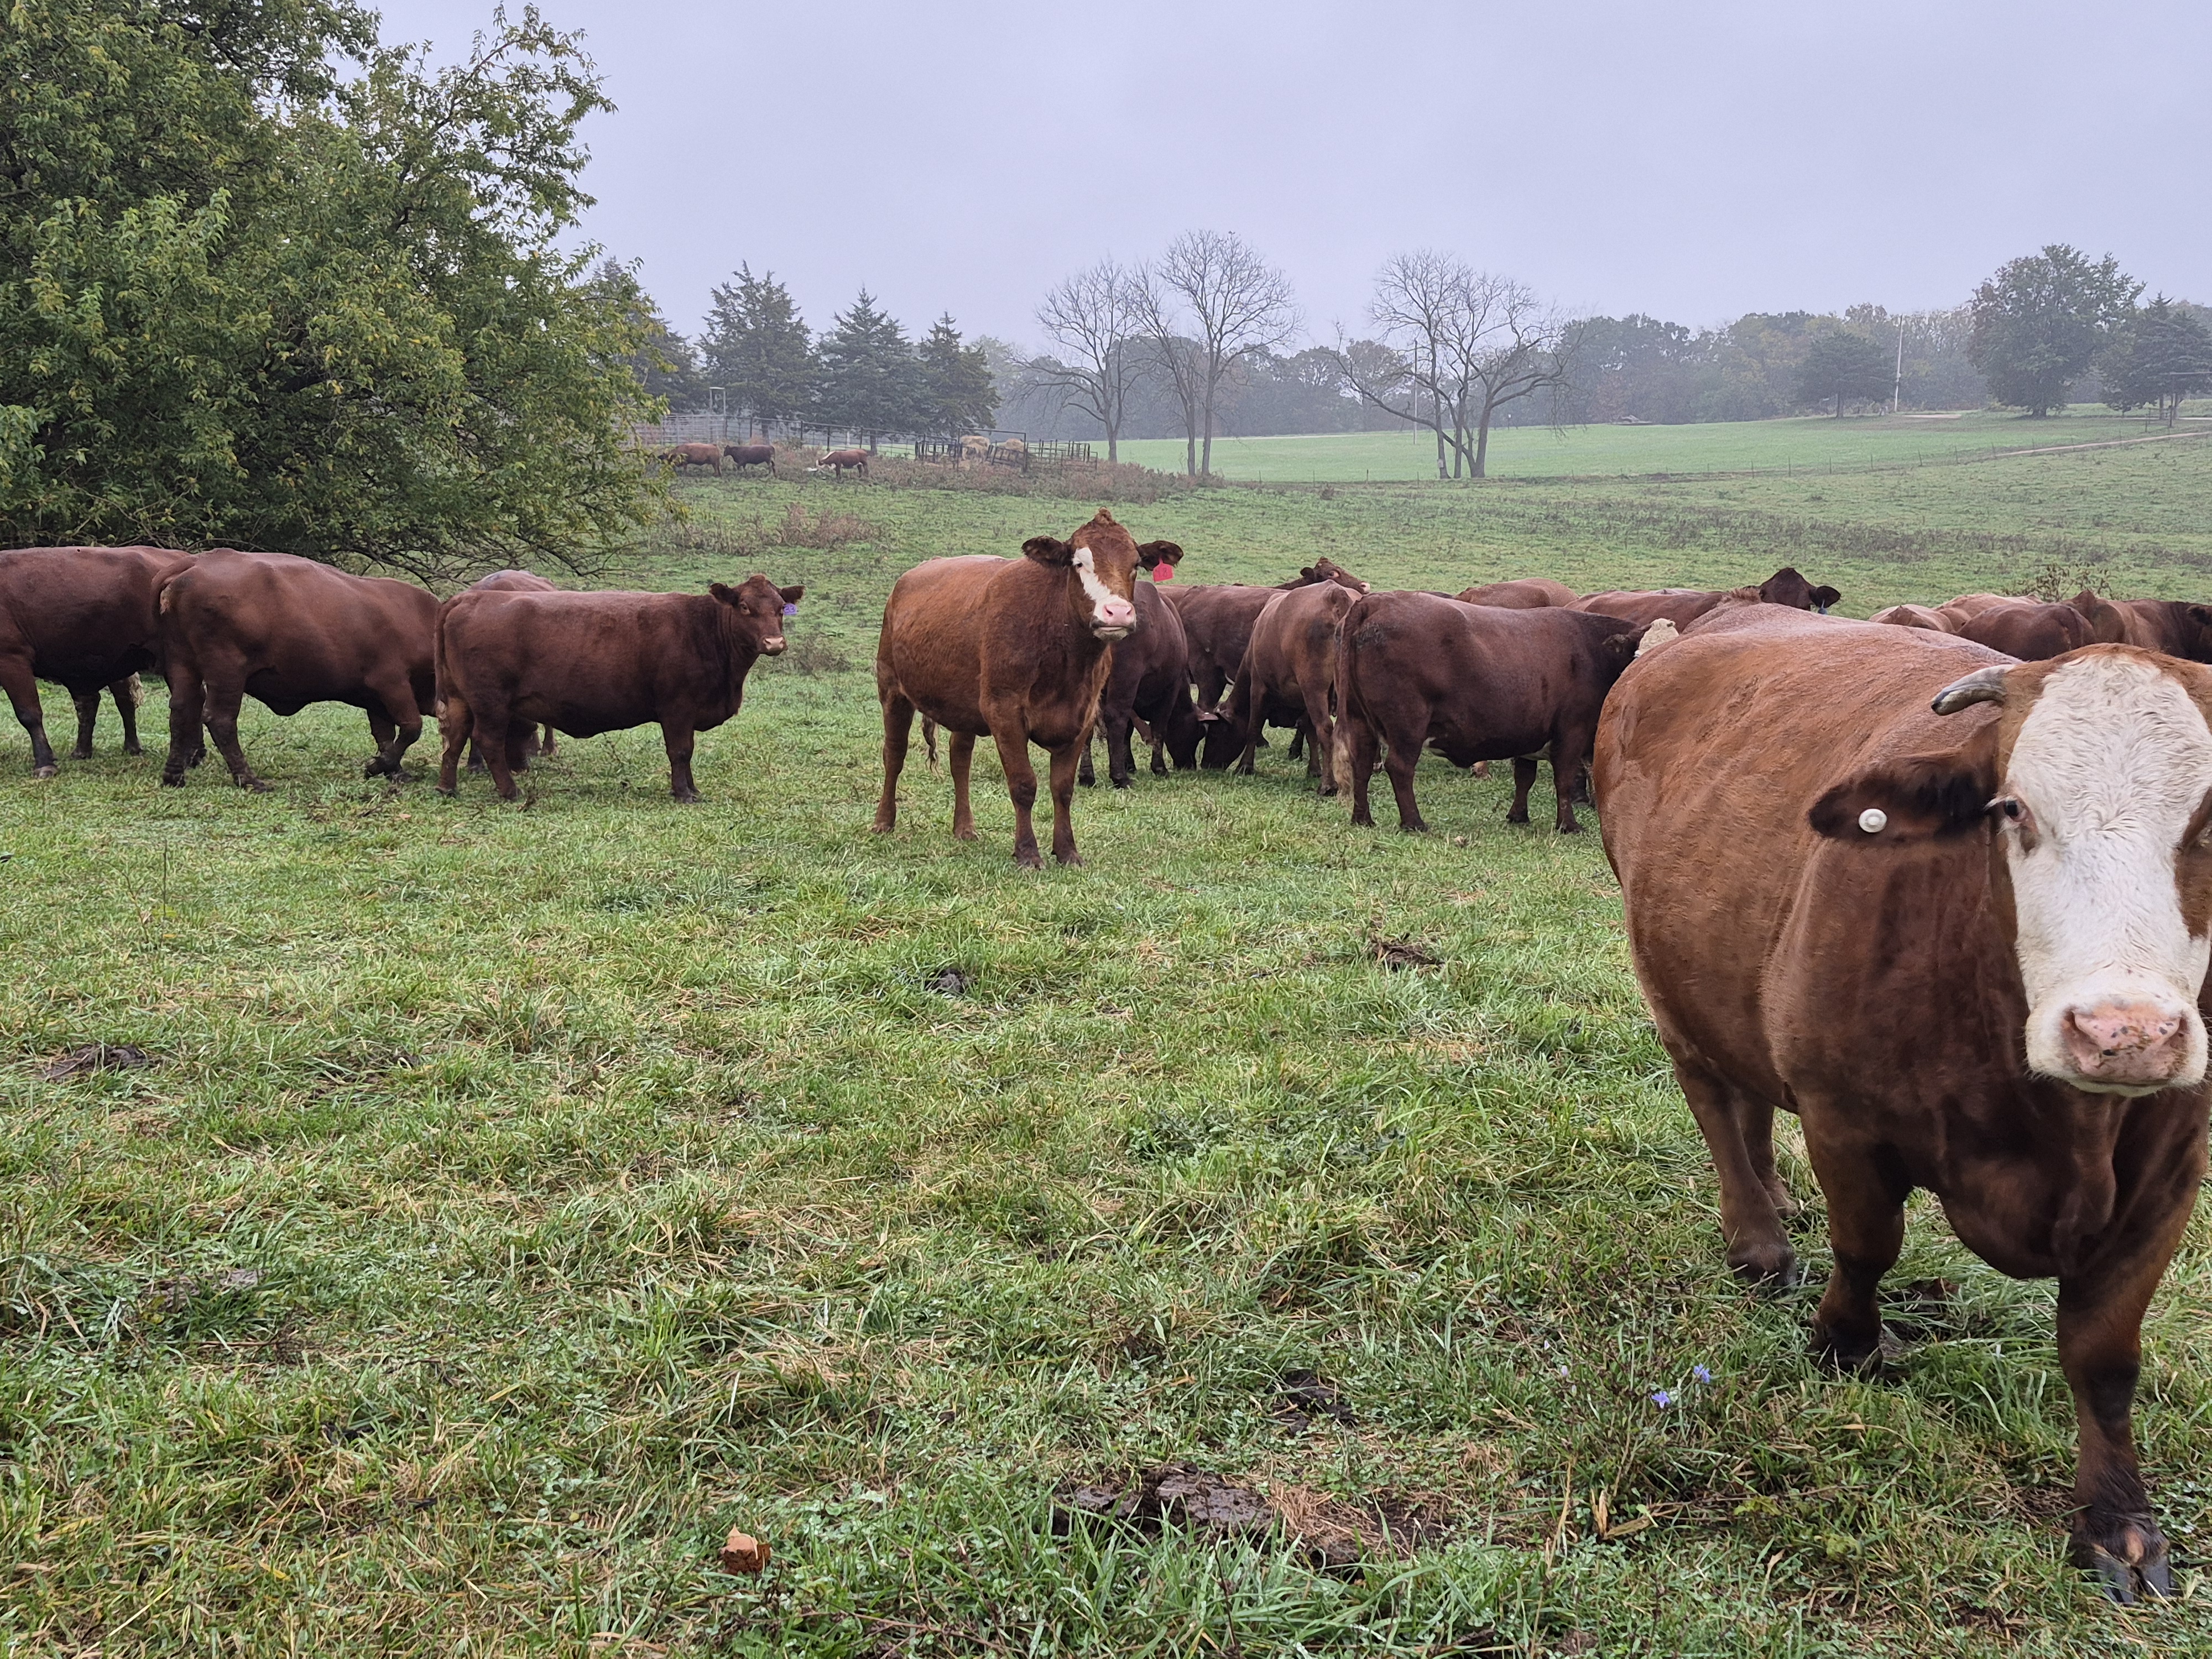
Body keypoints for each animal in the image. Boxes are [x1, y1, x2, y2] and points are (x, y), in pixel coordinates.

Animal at [156, 550, 439, 789]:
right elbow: (411, 728)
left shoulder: (375, 697)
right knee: (220, 719)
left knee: (181, 710)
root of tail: (197, 562)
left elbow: (385, 736)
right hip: (227, 670)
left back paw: (174, 775)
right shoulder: (392, 683)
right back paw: (249, 779)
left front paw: (393, 770)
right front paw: (379, 766)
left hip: (182, 663)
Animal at [873, 509, 1143, 867]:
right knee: (895, 753)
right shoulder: (1004, 712)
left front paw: (1067, 851)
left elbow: (1063, 789)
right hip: (893, 690)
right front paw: (1027, 853)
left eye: (1137, 564)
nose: (1118, 612)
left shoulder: (1082, 717)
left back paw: (965, 828)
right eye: (1079, 563)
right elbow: (1024, 784)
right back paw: (884, 821)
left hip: (964, 707)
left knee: (960, 760)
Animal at [1224, 580, 1363, 794]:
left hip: (1314, 687)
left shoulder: (1258, 686)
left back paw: (1328, 785)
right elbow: (1310, 731)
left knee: (1325, 729)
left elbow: (1254, 726)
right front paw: (1314, 769)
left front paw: (1245, 766)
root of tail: (1336, 594)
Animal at [1336, 593, 1647, 833]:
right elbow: (1564, 780)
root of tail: (1374, 601)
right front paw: (1568, 826)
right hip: (1408, 725)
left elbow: (1524, 777)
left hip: (1359, 720)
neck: (1593, 652)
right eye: (1637, 656)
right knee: (1400, 768)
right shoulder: (1571, 734)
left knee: (1361, 764)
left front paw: (1518, 816)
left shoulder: (1529, 734)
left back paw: (1362, 819)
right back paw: (1414, 823)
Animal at [1595, 610, 2212, 1602]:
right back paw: (1759, 1240)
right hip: (1669, 975)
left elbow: (2106, 1356)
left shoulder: (2169, 1175)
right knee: (1715, 1097)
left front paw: (2119, 1520)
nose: (2123, 1033)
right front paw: (1845, 1346)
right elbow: (1867, 1244)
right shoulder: (1845, 1119)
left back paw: (1776, 1199)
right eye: (2011, 810)